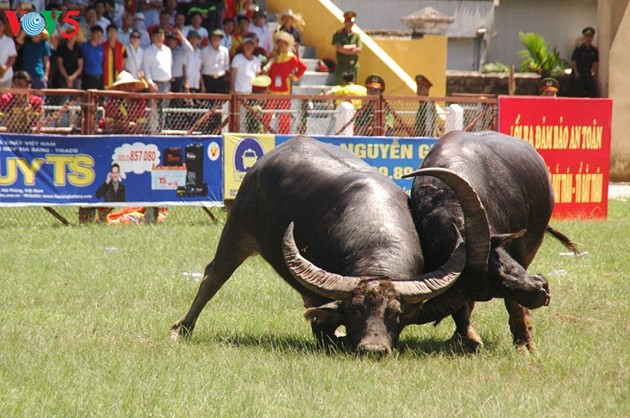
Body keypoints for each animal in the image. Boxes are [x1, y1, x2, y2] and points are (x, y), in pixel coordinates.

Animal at [170, 136, 476, 354]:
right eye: (355, 309)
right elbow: (322, 325)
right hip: (237, 229)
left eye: (396, 313)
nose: (373, 349)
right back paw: (182, 328)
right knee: (213, 275)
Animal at [404, 131, 576, 352]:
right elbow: (462, 310)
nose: (542, 290)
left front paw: (525, 344)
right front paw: (468, 339)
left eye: (501, 265)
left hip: (536, 241)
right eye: (488, 291)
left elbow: (514, 305)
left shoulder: (518, 252)